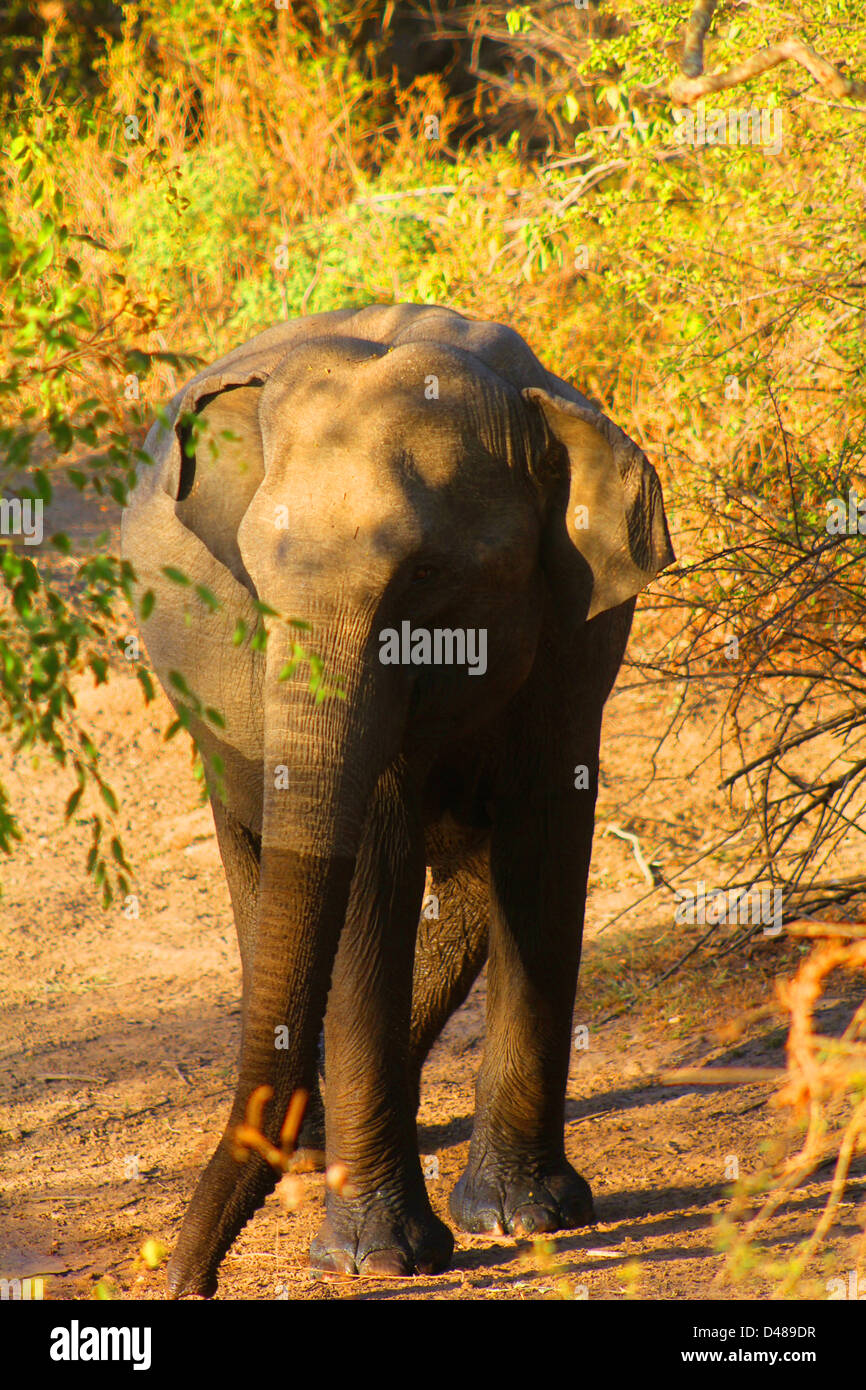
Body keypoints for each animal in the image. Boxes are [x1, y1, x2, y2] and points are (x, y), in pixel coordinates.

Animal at [120, 301, 678, 1289]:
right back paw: (307, 1149)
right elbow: (372, 863)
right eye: (254, 578)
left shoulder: (580, 632)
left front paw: (525, 1216)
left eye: (423, 575)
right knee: (259, 855)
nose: (186, 1283)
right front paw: (379, 1258)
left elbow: (542, 836)